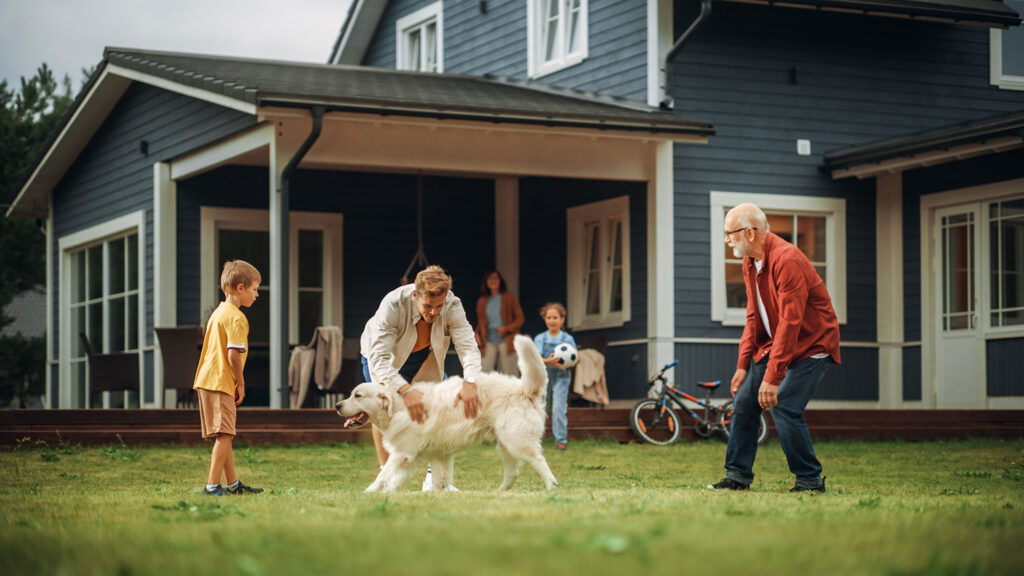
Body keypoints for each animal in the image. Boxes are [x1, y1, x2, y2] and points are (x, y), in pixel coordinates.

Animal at [335, 334, 557, 491]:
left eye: (357, 395)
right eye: (351, 394)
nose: (337, 405)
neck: (398, 408)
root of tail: (524, 389)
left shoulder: (402, 454)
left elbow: (383, 477)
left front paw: (368, 493)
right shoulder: (435, 454)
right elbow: (435, 479)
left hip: (517, 441)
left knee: (539, 461)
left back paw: (551, 487)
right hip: (505, 444)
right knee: (513, 472)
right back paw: (499, 492)